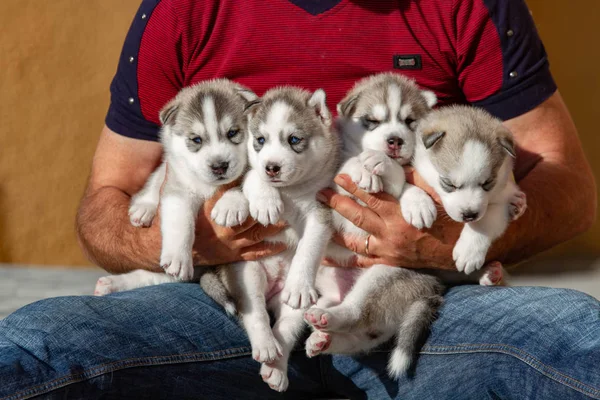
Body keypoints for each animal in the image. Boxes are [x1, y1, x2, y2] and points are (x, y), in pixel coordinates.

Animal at [94, 78, 255, 296]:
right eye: (196, 139)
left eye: (233, 133)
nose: (219, 166)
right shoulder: (179, 186)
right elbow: (180, 221)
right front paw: (178, 258)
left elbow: (246, 182)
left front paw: (229, 205)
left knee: (148, 277)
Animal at [202, 86, 340, 390]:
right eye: (260, 140)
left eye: (294, 139)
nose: (272, 167)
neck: (291, 191)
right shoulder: (247, 170)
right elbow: (250, 177)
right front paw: (260, 201)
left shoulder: (321, 211)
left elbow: (309, 247)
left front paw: (299, 283)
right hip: (247, 272)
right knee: (254, 313)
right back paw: (265, 345)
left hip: (297, 305)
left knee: (286, 327)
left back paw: (276, 366)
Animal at [414, 104, 528, 276]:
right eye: (449, 184)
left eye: (487, 182)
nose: (469, 215)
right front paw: (418, 206)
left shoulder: (499, 203)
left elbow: (486, 221)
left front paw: (469, 252)